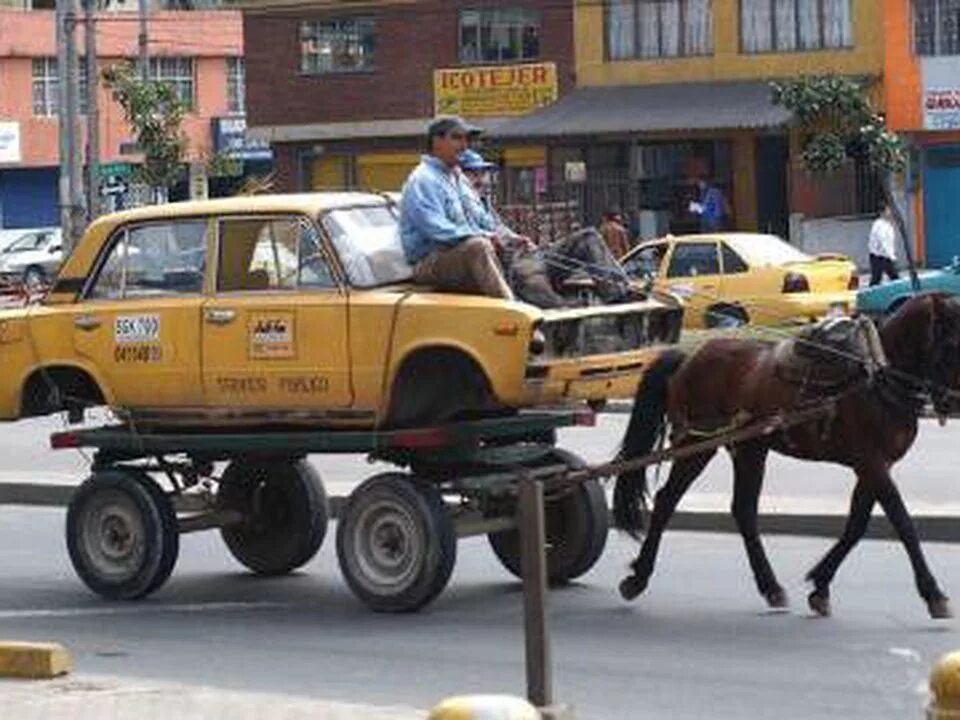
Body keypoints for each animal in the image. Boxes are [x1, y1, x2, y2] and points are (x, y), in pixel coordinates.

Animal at [616, 292, 960, 620]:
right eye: (953, 344)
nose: (954, 401)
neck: (878, 374)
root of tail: (689, 356)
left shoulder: (874, 467)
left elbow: (856, 525)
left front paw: (821, 585)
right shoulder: (872, 464)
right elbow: (903, 523)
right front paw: (933, 593)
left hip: (749, 449)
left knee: (743, 510)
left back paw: (770, 586)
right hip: (697, 444)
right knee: (667, 500)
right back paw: (639, 577)